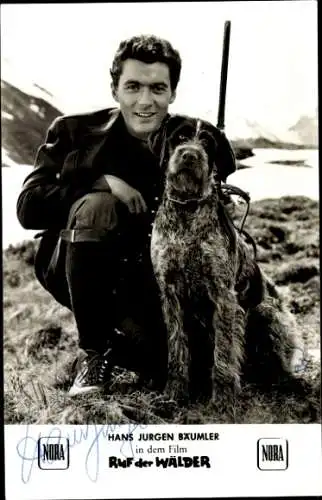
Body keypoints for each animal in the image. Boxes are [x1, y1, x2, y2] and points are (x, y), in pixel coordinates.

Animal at [149, 117, 304, 406]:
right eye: (180, 137)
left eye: (207, 142)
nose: (190, 155)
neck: (187, 209)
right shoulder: (170, 293)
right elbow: (177, 345)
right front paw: (175, 391)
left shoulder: (222, 294)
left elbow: (223, 349)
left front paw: (222, 398)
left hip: (266, 312)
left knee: (275, 359)